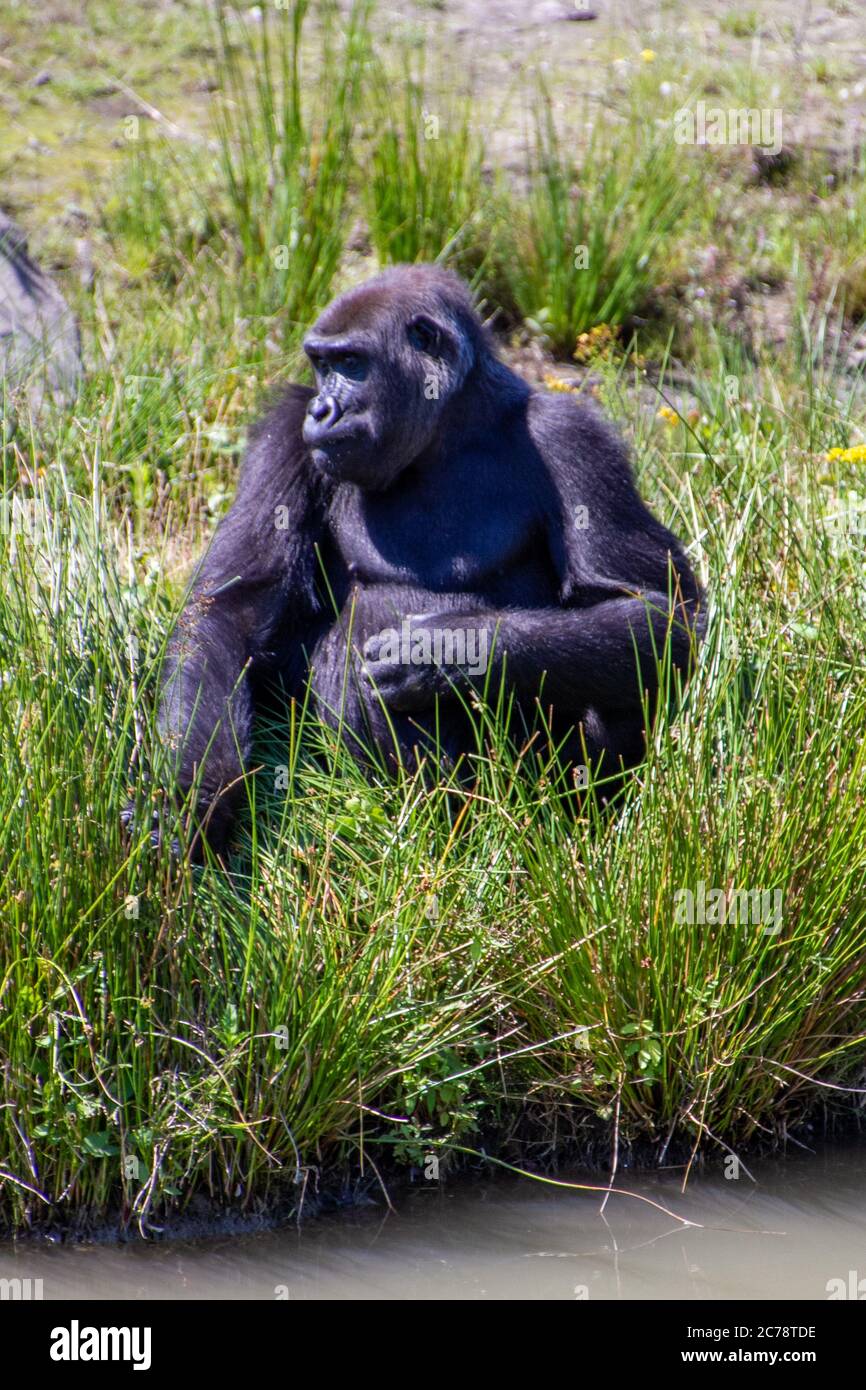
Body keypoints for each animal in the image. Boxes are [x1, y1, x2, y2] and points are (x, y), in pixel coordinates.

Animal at [147, 259, 706, 845]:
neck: (445, 435)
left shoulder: (574, 436)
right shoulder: (287, 432)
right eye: (321, 366)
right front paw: (195, 803)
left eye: (351, 363)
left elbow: (658, 609)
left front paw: (442, 650)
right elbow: (231, 612)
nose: (321, 410)